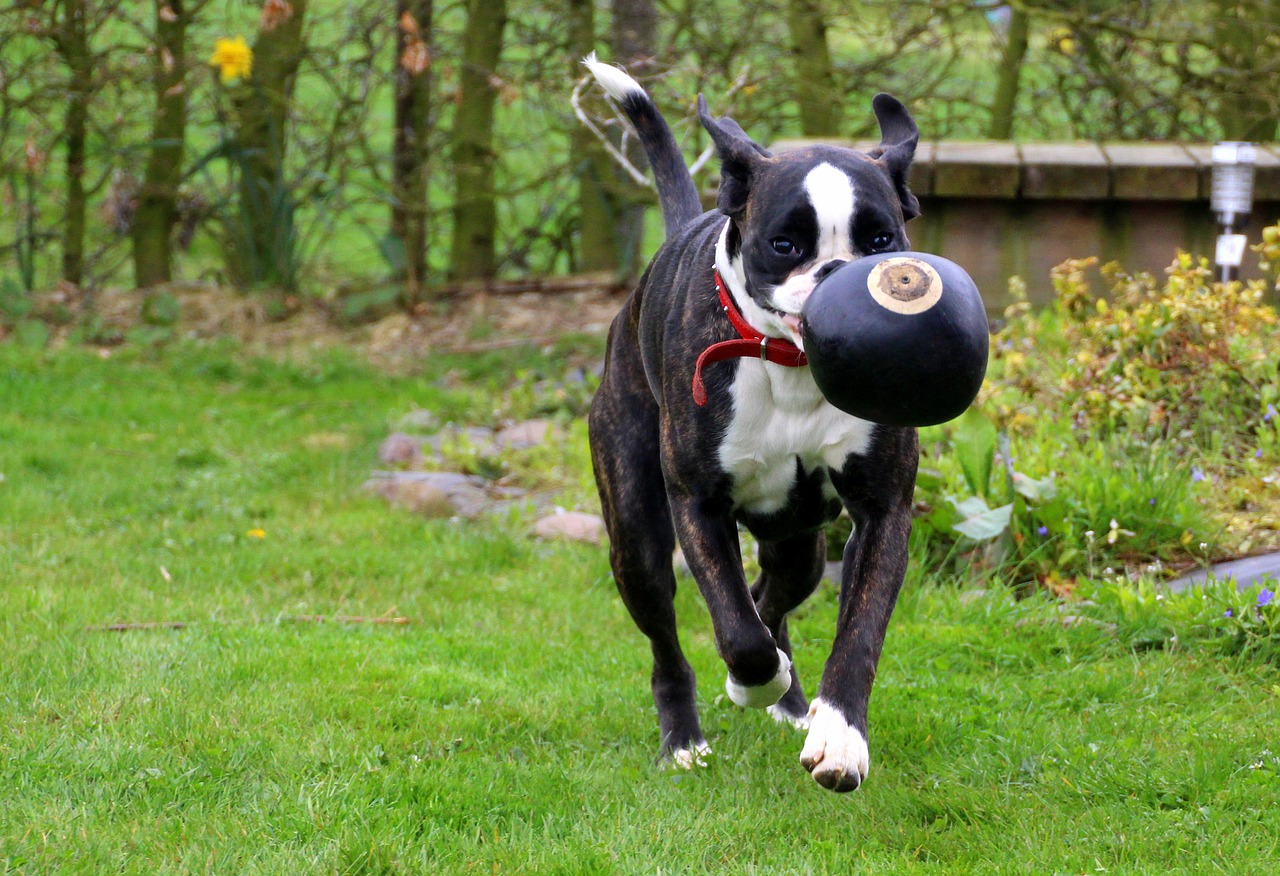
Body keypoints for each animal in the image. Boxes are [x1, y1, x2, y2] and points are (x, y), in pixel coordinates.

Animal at [581, 54, 921, 794]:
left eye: (881, 240)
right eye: (784, 244)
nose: (839, 276)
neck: (790, 368)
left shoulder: (883, 509)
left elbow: (857, 630)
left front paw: (838, 735)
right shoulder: (698, 505)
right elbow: (736, 631)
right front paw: (753, 681)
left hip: (801, 545)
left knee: (773, 596)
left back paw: (791, 702)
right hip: (636, 539)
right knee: (674, 642)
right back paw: (686, 737)